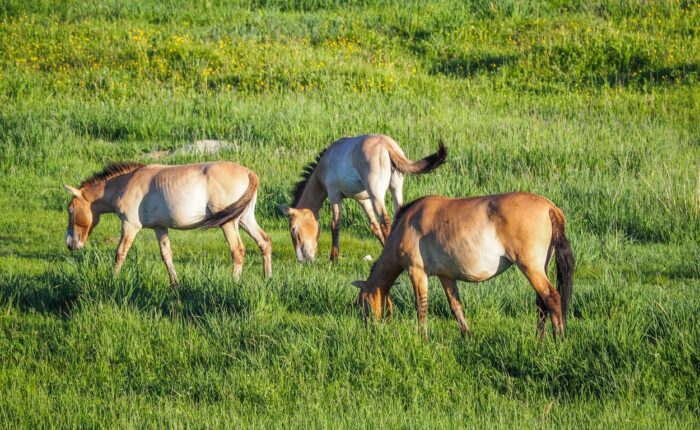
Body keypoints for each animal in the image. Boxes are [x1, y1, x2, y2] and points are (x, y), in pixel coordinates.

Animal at [63, 161, 270, 282]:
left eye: (70, 210)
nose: (70, 244)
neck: (126, 183)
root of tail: (249, 173)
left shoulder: (130, 226)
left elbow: (120, 252)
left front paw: (112, 278)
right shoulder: (160, 228)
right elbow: (166, 256)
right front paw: (175, 284)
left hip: (229, 223)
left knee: (238, 251)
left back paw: (234, 282)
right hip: (244, 220)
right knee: (264, 242)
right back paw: (267, 278)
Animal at [278, 134, 446, 262]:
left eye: (293, 229)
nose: (302, 259)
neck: (323, 166)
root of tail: (387, 146)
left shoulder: (334, 195)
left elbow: (335, 224)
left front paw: (334, 258)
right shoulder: (363, 201)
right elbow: (374, 227)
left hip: (376, 193)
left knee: (385, 221)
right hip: (396, 188)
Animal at [350, 192, 576, 340]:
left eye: (361, 304)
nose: (368, 330)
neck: (406, 225)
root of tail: (549, 207)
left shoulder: (417, 272)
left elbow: (421, 306)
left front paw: (422, 337)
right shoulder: (446, 276)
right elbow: (455, 307)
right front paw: (467, 336)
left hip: (530, 267)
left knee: (551, 298)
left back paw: (558, 338)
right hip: (539, 268)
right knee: (541, 303)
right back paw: (539, 339)